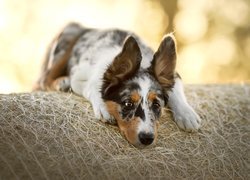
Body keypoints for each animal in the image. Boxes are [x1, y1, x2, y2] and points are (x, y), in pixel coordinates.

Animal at [33, 22, 201, 147]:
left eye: (156, 105)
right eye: (127, 104)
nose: (147, 139)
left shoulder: (174, 76)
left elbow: (176, 92)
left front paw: (187, 115)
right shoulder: (78, 77)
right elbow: (93, 87)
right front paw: (103, 108)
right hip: (66, 39)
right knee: (44, 79)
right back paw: (61, 82)